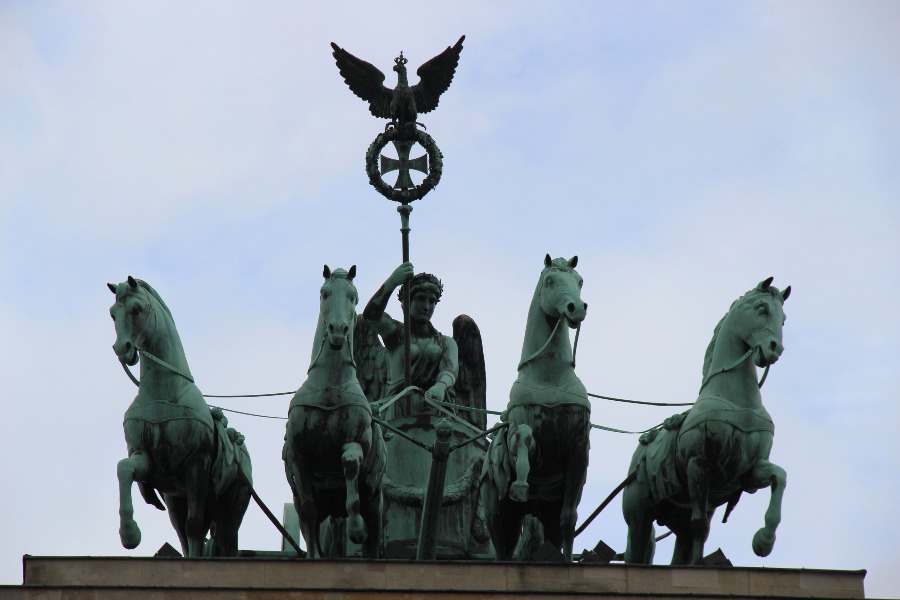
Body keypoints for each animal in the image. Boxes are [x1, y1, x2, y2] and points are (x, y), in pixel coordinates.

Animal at [109, 276, 251, 556]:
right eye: (112, 314)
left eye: (136, 309)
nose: (122, 349)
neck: (163, 391)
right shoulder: (149, 461)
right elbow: (124, 469)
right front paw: (129, 534)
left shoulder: (197, 462)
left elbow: (194, 526)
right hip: (176, 501)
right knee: (183, 534)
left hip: (229, 511)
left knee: (217, 536)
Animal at [284, 268, 384, 556]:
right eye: (324, 293)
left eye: (353, 296)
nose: (338, 330)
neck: (330, 385)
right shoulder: (298, 455)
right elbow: (308, 511)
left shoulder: (354, 441)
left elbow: (350, 465)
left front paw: (356, 528)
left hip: (375, 501)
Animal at [478, 254, 592, 564]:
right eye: (550, 280)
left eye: (579, 281)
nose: (576, 308)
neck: (550, 376)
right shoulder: (521, 429)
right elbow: (524, 437)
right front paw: (520, 483)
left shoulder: (578, 449)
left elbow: (569, 520)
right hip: (499, 515)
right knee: (503, 550)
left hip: (544, 514)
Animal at [624, 278, 792, 564]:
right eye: (762, 309)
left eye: (783, 319)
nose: (775, 349)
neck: (737, 401)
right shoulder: (698, 464)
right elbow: (700, 526)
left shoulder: (750, 469)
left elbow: (779, 477)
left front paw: (764, 540)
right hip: (639, 515)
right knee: (637, 550)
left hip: (677, 513)